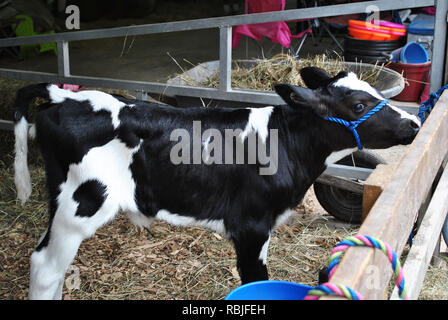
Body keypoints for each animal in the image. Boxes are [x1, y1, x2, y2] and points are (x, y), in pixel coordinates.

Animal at [13, 67, 420, 300]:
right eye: (357, 104)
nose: (415, 124)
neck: (286, 141)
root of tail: (65, 95)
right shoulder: (252, 226)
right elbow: (253, 280)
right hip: (81, 204)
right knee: (46, 267)